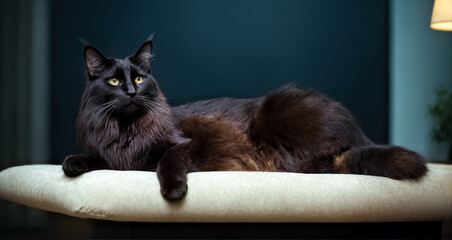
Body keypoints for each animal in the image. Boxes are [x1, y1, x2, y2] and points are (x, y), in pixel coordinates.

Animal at [62, 36, 428, 200]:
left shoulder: (183, 144)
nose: (131, 92)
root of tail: (358, 130)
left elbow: (168, 161)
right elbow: (94, 157)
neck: (127, 129)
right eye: (113, 82)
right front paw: (71, 164)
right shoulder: (114, 156)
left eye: (139, 79)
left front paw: (175, 190)